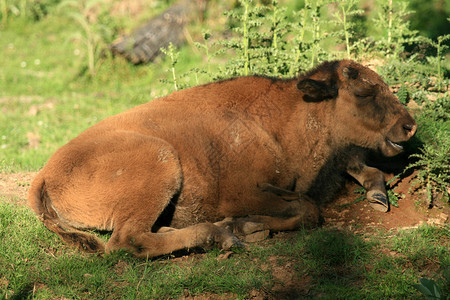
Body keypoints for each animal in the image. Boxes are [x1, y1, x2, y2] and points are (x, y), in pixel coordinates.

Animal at [27, 60, 414, 258]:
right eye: (364, 92)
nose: (409, 125)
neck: (284, 117)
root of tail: (44, 175)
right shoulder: (245, 192)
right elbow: (307, 209)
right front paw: (247, 227)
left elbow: (359, 169)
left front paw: (378, 195)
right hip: (162, 162)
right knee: (127, 241)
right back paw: (219, 236)